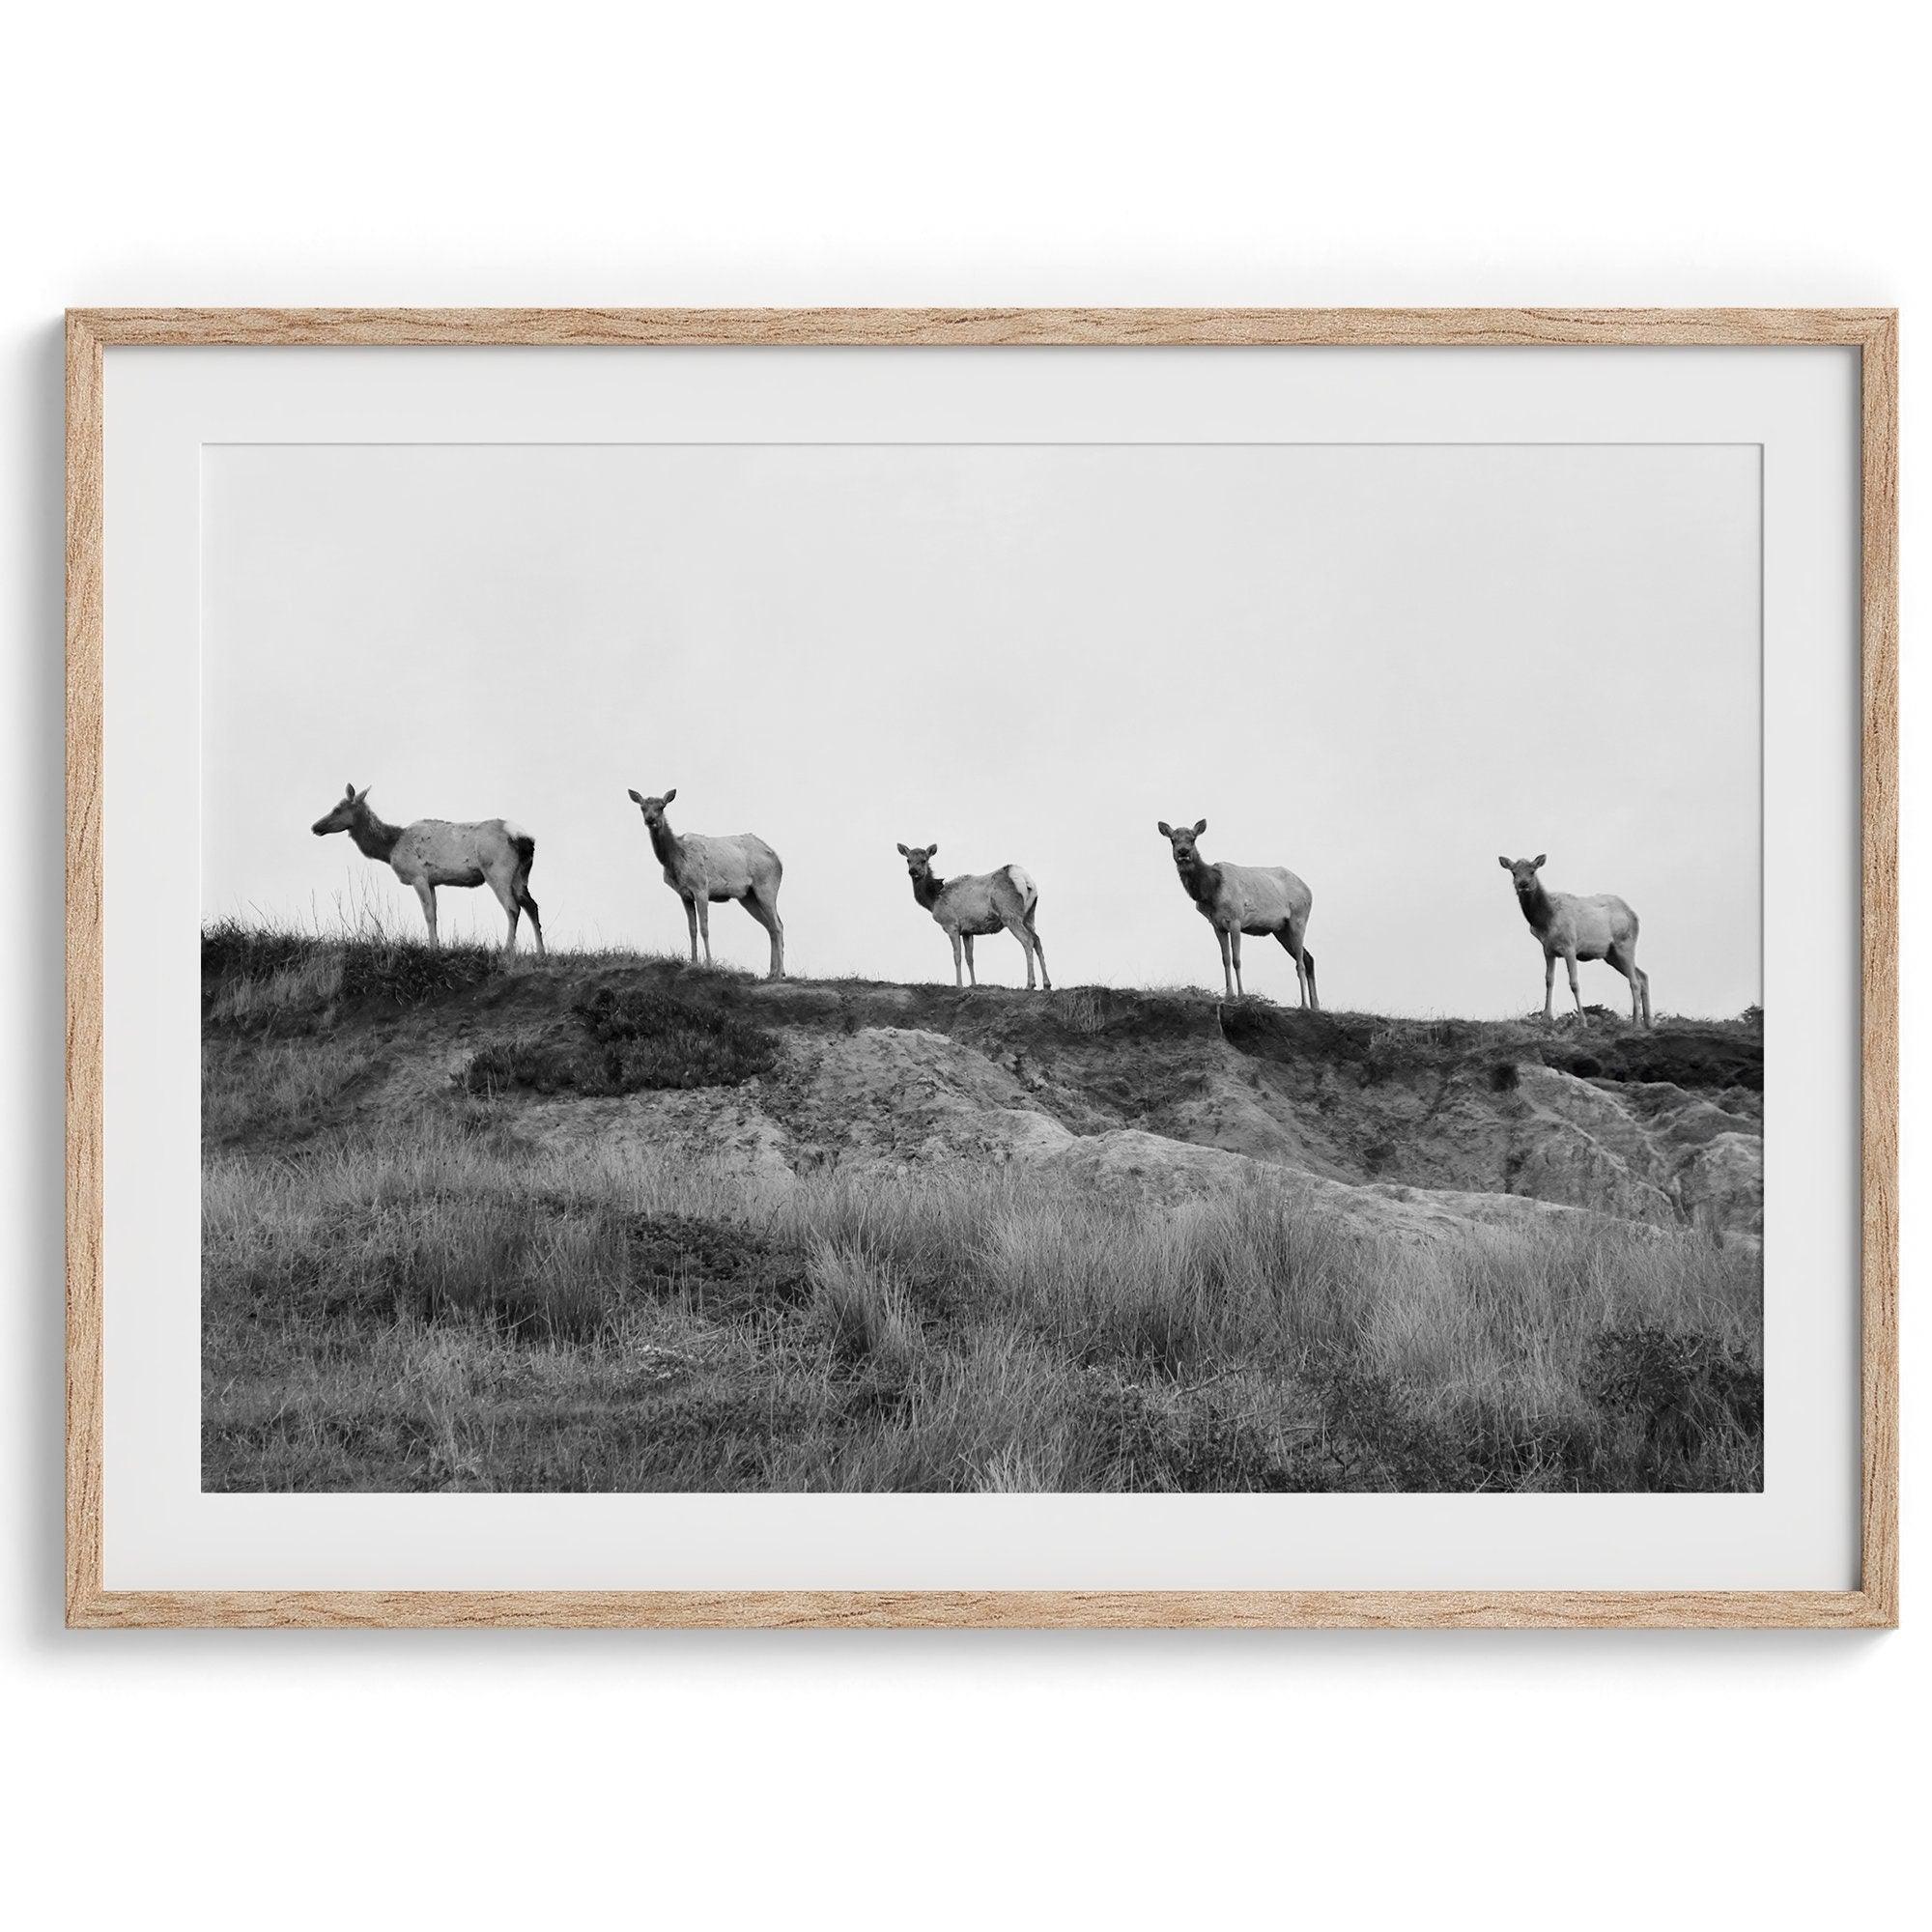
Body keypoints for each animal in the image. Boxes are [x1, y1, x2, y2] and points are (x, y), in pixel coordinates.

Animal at [311, 781, 545, 954]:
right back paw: (541, 952)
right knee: (531, 905)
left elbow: (428, 914)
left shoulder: (418, 876)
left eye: (337, 808)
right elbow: (435, 913)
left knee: (513, 907)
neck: (390, 848)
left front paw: (432, 948)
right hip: (521, 874)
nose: (315, 826)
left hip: (498, 870)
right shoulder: (433, 880)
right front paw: (437, 945)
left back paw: (508, 950)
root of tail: (524, 839)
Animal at [634, 781, 784, 974]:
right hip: (748, 896)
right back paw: (771, 973)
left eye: (662, 807)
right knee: (770, 926)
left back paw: (780, 972)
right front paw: (693, 962)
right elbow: (692, 929)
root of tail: (779, 861)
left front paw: (709, 964)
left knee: (778, 925)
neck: (675, 861)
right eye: (642, 807)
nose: (650, 819)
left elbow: (705, 928)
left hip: (766, 886)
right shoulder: (684, 894)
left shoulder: (701, 888)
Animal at [893, 846, 1051, 997]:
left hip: (1010, 914)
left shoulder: (951, 925)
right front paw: (973, 984)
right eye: (908, 860)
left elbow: (957, 956)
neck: (933, 900)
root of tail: (1025, 880)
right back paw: (1047, 984)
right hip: (1029, 915)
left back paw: (1030, 984)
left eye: (924, 860)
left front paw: (959, 984)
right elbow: (970, 958)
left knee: (1028, 940)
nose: (912, 871)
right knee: (1037, 940)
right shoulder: (967, 931)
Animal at [1159, 815, 1314, 1005]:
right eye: (1172, 839)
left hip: (1299, 919)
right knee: (1309, 958)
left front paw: (1241, 994)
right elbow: (1225, 959)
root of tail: (1309, 891)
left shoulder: (1236, 919)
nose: (1183, 851)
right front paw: (1229, 994)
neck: (1211, 892)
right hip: (1281, 930)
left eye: (1193, 838)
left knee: (1300, 963)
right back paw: (1315, 1005)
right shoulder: (1217, 925)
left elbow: (1236, 959)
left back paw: (1304, 1004)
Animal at [1499, 850, 1654, 1028]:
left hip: (1625, 943)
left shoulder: (1570, 946)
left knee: (1634, 981)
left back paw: (1636, 1024)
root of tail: (1635, 916)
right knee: (1642, 976)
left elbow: (1574, 983)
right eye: (1513, 872)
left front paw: (1583, 1021)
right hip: (1610, 954)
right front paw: (1546, 1017)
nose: (1523, 884)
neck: (1545, 920)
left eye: (1532, 871)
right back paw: (1648, 1023)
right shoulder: (1548, 949)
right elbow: (1549, 980)